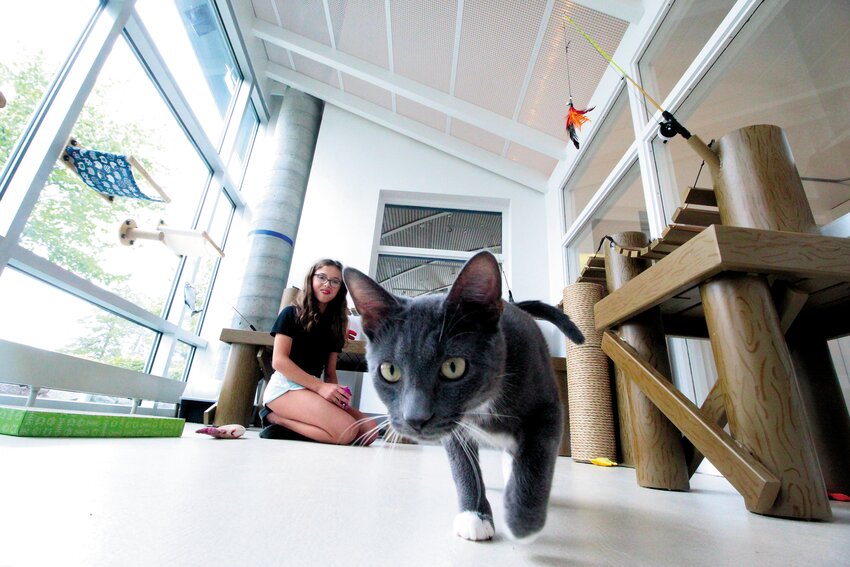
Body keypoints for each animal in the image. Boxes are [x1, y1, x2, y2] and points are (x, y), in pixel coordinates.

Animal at [342, 252, 580, 540]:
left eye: (453, 367)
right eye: (390, 370)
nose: (415, 418)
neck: (482, 405)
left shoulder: (548, 409)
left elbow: (536, 458)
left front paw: (524, 520)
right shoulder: (454, 431)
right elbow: (463, 466)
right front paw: (474, 514)